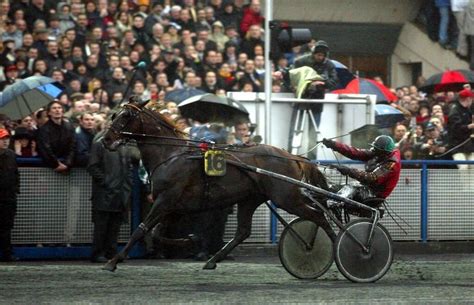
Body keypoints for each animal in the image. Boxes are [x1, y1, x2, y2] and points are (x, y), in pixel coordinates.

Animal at [103, 97, 334, 270]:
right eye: (114, 114)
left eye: (126, 116)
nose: (106, 139)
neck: (171, 154)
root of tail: (291, 156)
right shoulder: (172, 205)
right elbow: (156, 233)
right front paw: (190, 241)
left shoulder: (166, 199)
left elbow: (141, 230)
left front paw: (113, 261)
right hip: (251, 199)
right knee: (243, 232)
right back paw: (213, 260)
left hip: (286, 198)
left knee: (319, 216)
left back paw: (330, 247)